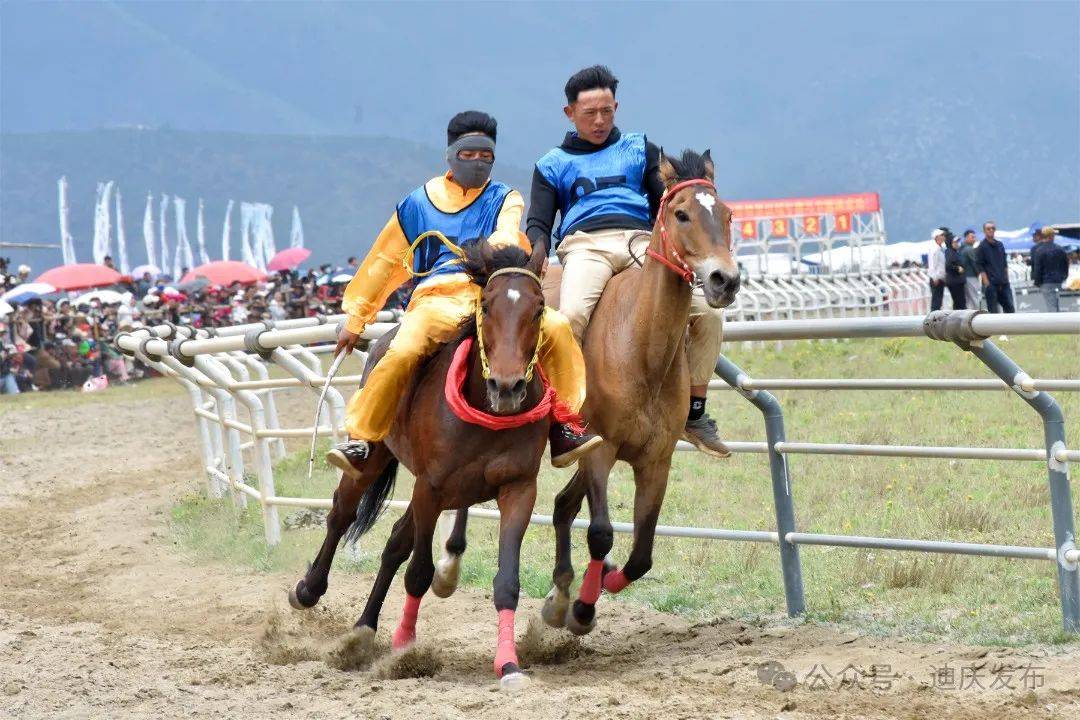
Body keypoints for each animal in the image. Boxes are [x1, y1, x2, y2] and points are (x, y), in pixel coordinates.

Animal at [287, 239, 556, 689]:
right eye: (486, 305)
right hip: (377, 455)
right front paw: (404, 651)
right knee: (342, 514)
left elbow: (506, 581)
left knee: (395, 542)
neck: (486, 413)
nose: (507, 386)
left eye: (538, 307)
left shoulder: (518, 487)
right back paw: (309, 589)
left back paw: (364, 629)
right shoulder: (430, 486)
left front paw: (509, 665)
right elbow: (418, 571)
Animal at [541, 148, 741, 635]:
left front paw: (598, 587)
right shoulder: (600, 450)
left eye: (727, 214)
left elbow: (642, 554)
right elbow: (600, 534)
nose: (725, 280)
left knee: (562, 506)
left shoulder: (655, 461)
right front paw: (583, 609)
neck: (639, 350)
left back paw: (559, 595)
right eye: (681, 213)